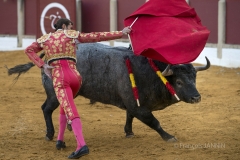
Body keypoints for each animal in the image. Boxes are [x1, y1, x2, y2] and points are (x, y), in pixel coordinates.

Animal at [7, 42, 210, 142]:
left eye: (194, 78)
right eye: (179, 81)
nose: (196, 97)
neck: (151, 72)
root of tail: (47, 57)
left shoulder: (133, 103)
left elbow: (129, 117)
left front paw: (129, 132)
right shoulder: (139, 107)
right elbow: (155, 122)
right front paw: (169, 137)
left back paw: (70, 127)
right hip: (53, 95)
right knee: (46, 109)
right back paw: (49, 134)